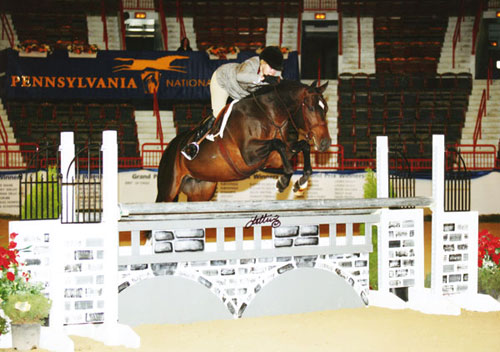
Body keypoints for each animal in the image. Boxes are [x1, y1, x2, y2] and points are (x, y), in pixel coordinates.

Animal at [154, 78, 330, 202]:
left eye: (326, 108)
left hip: (201, 190)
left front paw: (302, 182)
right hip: (167, 191)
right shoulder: (249, 155)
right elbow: (278, 143)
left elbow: (303, 146)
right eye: (311, 108)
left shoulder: (275, 158)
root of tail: (170, 147)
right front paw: (283, 181)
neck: (269, 114)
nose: (325, 143)